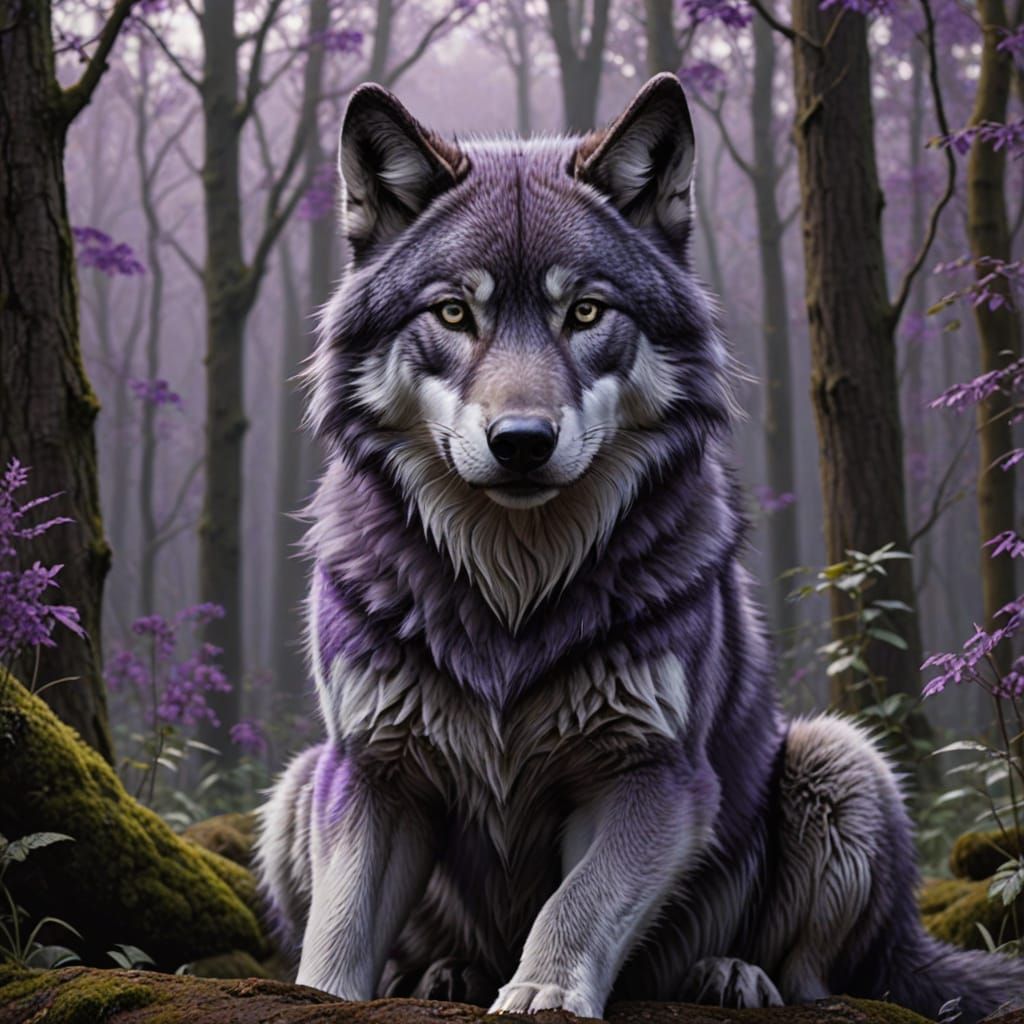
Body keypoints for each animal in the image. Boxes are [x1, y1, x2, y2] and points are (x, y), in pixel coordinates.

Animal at [256, 74, 1024, 1020]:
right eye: (454, 313)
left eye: (586, 311)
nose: (521, 442)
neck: (514, 588)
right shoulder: (371, 770)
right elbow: (338, 930)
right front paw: (325, 994)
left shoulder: (653, 775)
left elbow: (575, 903)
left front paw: (542, 993)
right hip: (297, 781)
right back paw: (445, 974)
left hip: (842, 760)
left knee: (809, 977)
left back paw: (729, 975)